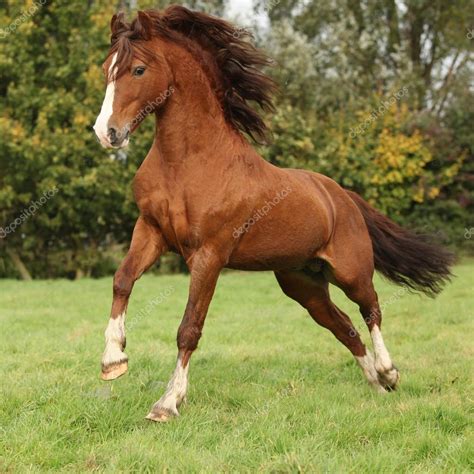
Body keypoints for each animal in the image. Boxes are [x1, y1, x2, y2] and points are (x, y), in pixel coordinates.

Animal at [91, 6, 452, 422]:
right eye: (106, 68)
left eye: (138, 69)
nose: (106, 132)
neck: (186, 162)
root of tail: (341, 196)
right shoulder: (151, 230)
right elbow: (122, 280)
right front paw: (113, 361)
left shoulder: (209, 255)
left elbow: (189, 327)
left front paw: (167, 403)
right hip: (303, 283)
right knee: (343, 325)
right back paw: (376, 385)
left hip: (351, 270)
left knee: (370, 309)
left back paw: (389, 373)